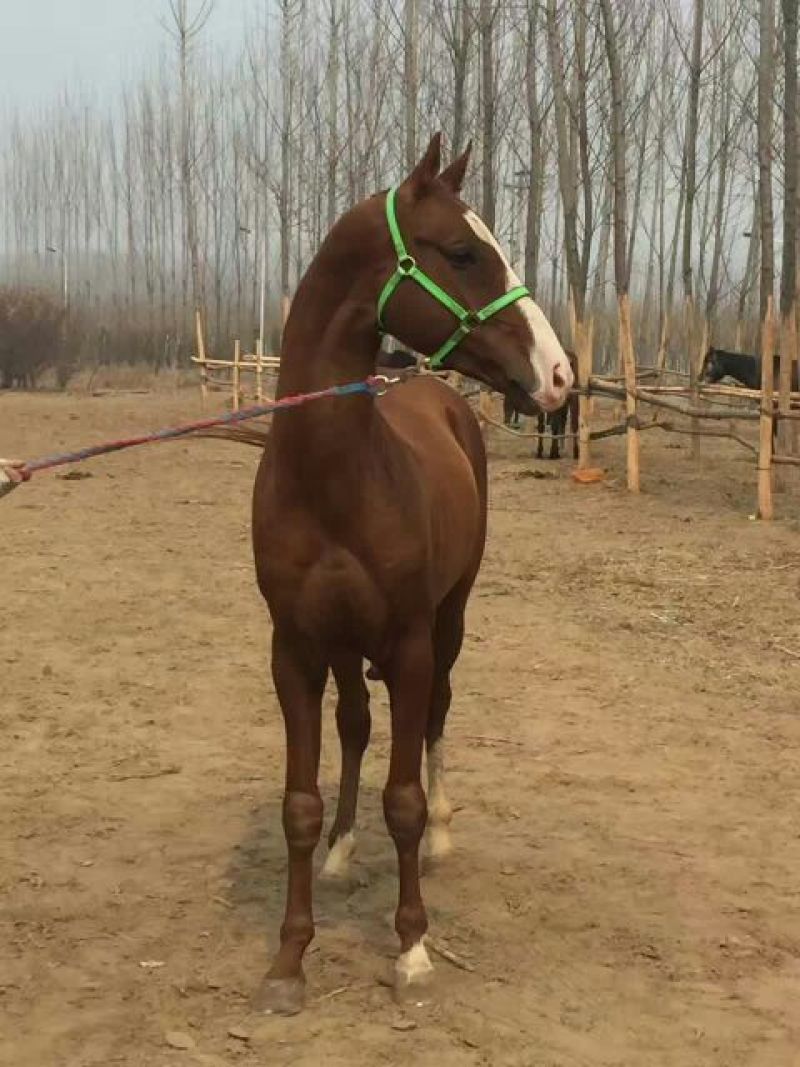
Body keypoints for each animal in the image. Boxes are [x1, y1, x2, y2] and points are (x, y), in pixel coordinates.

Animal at [222, 134, 572, 1014]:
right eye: (462, 251)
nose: (559, 374)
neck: (333, 480)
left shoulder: (410, 643)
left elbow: (405, 798)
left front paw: (412, 946)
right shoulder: (294, 649)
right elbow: (300, 803)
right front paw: (289, 959)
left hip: (449, 619)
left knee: (438, 713)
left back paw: (444, 830)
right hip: (348, 647)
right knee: (354, 725)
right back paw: (345, 850)